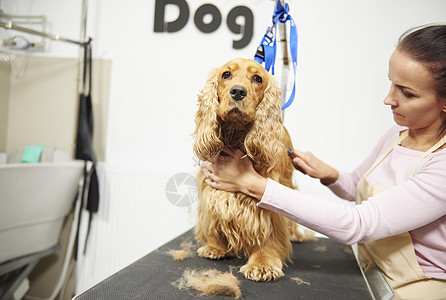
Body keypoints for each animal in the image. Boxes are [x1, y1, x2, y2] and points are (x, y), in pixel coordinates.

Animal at [192, 58, 304, 282]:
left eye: (257, 79)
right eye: (226, 75)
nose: (237, 91)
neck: (236, 137)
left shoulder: (267, 197)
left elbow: (267, 233)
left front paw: (262, 264)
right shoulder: (211, 189)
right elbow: (214, 217)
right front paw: (215, 247)